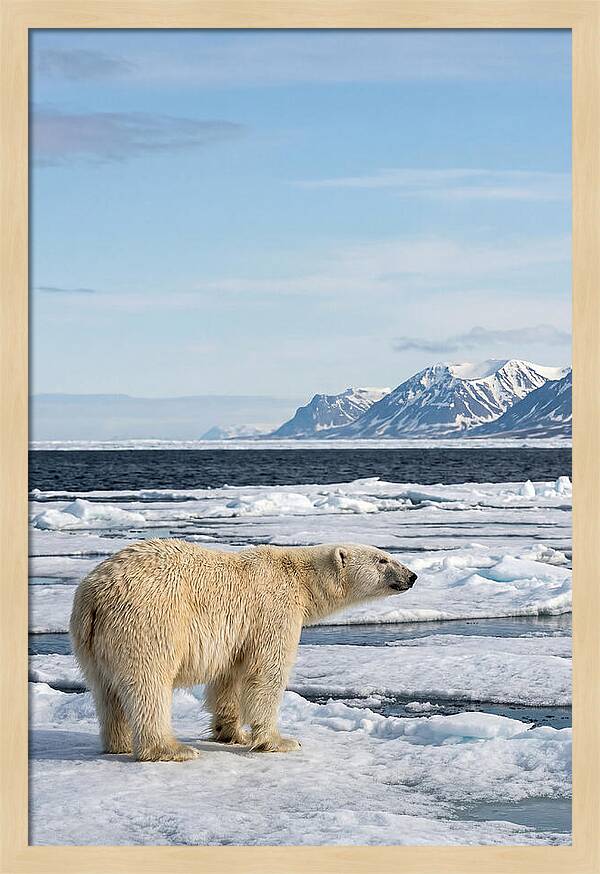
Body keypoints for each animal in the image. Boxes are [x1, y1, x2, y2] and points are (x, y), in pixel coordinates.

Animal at [70, 539, 417, 762]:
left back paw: (118, 743)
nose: (412, 576)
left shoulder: (239, 635)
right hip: (148, 621)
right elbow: (267, 672)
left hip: (90, 641)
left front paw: (232, 733)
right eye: (383, 559)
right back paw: (171, 749)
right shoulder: (273, 610)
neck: (300, 579)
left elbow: (229, 678)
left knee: (105, 690)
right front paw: (280, 740)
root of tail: (95, 595)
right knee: (148, 684)